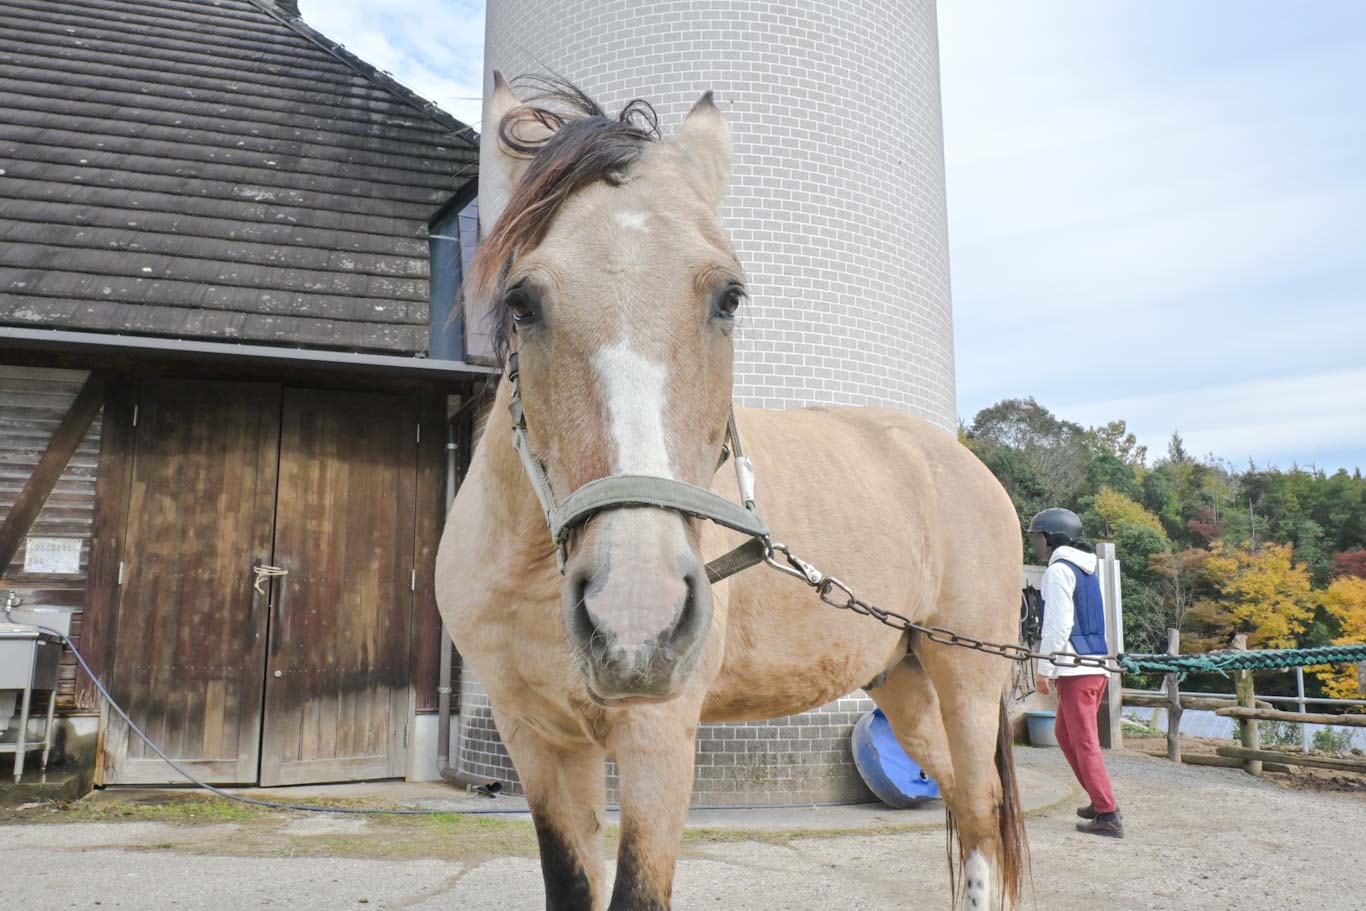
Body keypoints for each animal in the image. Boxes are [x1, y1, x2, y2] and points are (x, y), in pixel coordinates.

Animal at [435, 73, 1028, 911]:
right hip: (902, 683)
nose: (634, 619)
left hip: (968, 679)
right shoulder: (538, 742)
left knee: (980, 811)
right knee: (954, 795)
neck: (527, 577)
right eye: (523, 301)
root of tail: (962, 463)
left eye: (729, 298)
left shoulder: (659, 741)